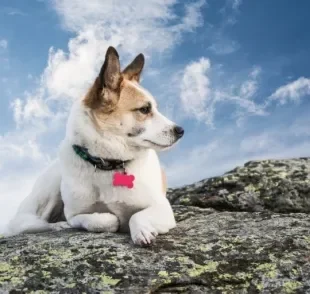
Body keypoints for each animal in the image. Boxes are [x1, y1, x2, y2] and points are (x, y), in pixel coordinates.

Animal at [4, 46, 184, 246]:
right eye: (144, 109)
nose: (180, 131)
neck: (107, 163)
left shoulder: (163, 208)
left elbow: (136, 216)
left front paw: (142, 230)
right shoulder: (75, 215)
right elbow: (105, 219)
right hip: (50, 188)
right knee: (32, 223)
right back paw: (57, 225)